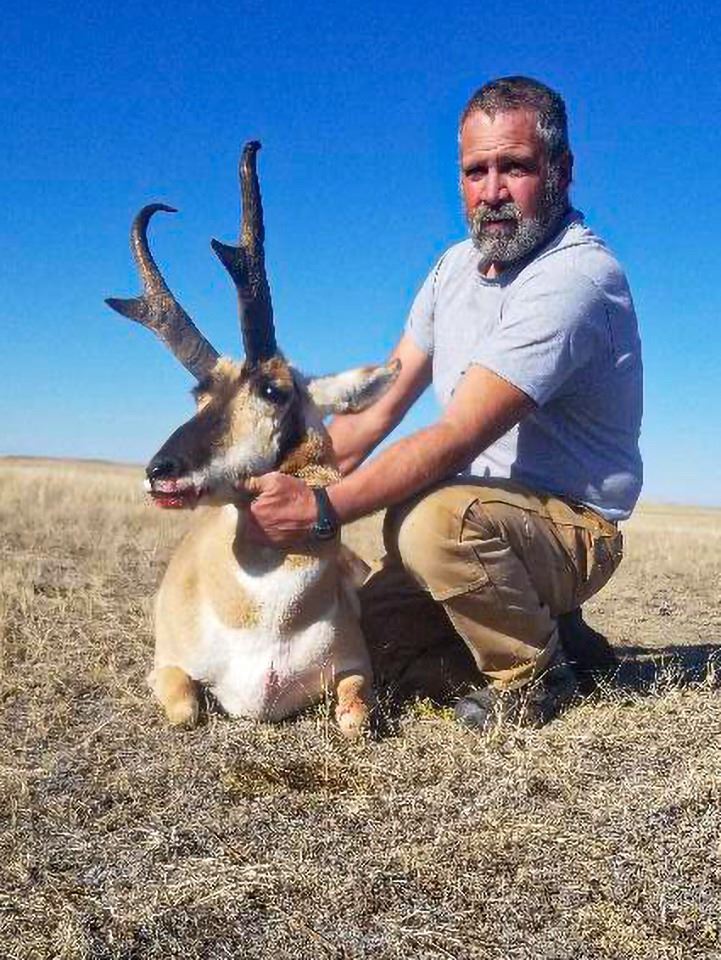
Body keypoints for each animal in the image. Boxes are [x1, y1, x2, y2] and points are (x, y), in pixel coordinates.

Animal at [106, 141, 399, 738]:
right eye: (198, 392)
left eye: (272, 388)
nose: (159, 471)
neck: (268, 623)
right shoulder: (166, 668)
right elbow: (186, 709)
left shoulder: (356, 670)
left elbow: (355, 717)